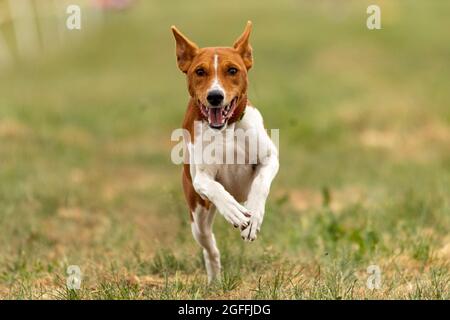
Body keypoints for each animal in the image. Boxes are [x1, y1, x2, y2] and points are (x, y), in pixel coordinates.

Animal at [171, 21, 278, 282]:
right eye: (200, 71)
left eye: (232, 70)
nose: (215, 96)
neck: (226, 129)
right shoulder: (201, 178)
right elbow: (216, 188)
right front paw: (233, 211)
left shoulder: (270, 158)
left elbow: (260, 185)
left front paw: (253, 216)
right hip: (198, 217)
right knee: (210, 247)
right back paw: (215, 278)